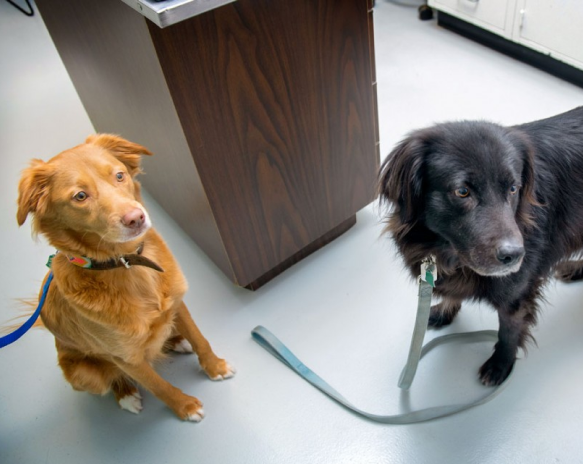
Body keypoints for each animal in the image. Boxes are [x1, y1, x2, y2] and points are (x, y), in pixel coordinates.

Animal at [16, 133, 235, 420]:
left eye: (119, 176)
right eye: (80, 196)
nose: (136, 218)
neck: (128, 264)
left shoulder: (178, 303)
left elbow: (200, 339)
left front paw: (215, 367)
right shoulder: (124, 358)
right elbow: (158, 386)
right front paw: (185, 407)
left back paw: (176, 340)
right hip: (86, 375)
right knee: (113, 380)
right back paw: (126, 395)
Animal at [380, 107, 583, 386]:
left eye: (513, 188)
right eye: (462, 191)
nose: (515, 255)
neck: (449, 253)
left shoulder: (518, 295)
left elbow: (508, 331)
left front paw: (500, 365)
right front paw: (445, 310)